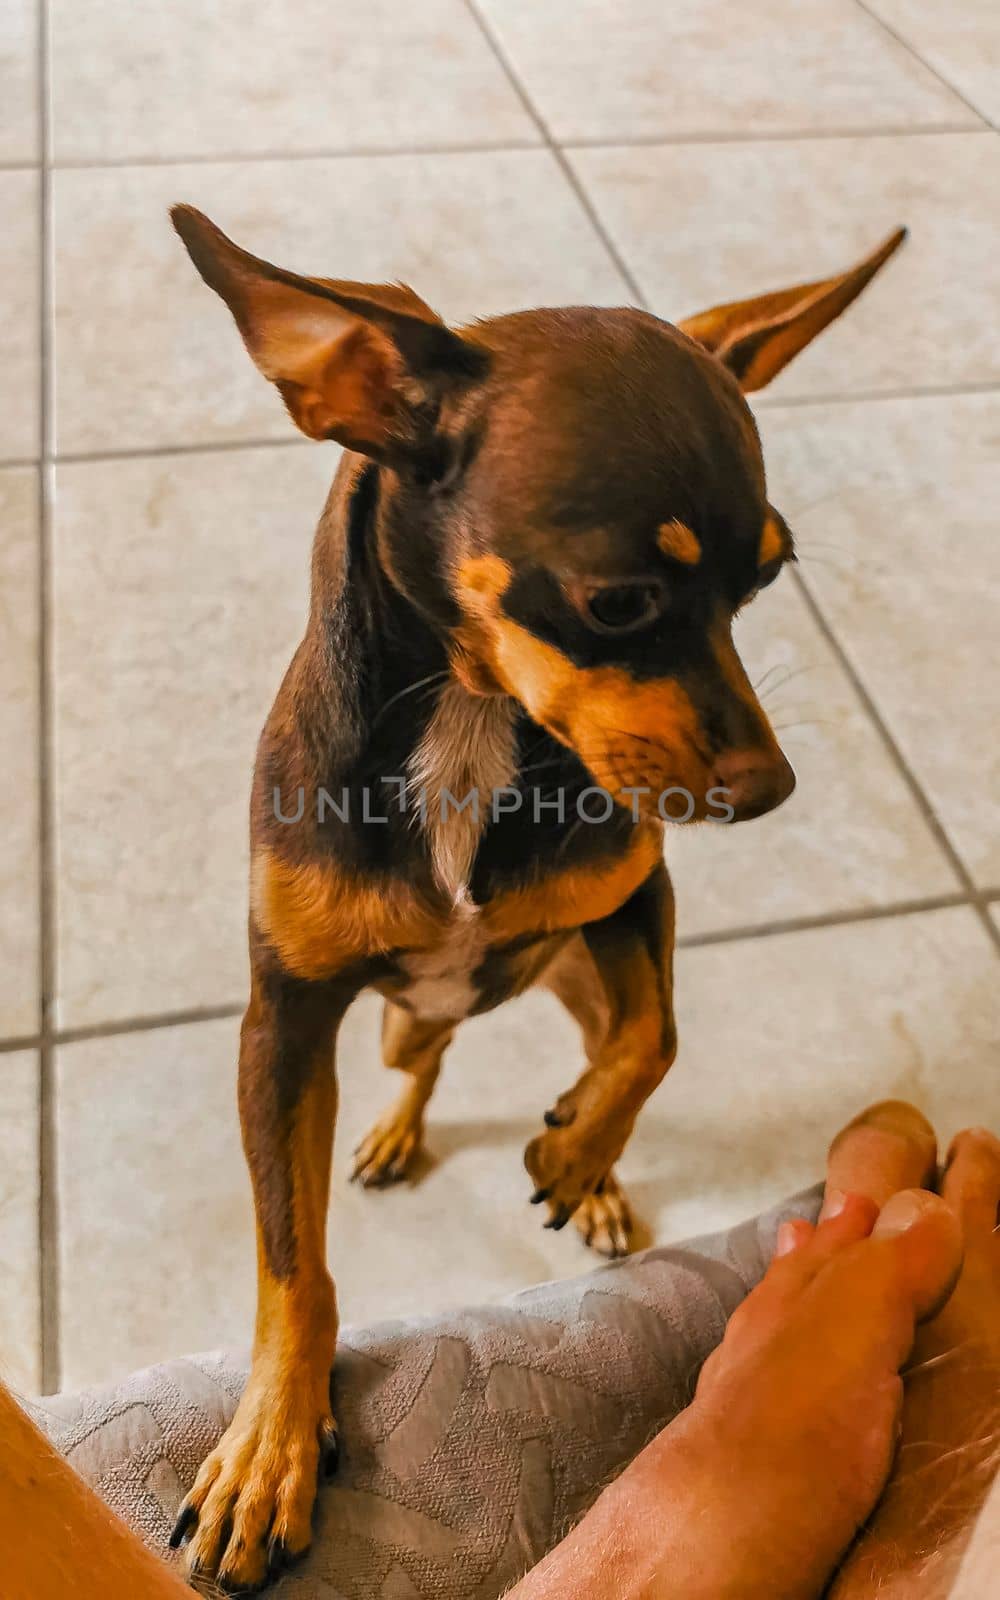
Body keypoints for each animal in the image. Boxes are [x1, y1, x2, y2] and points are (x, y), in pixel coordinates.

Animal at [168, 206, 902, 1593]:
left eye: (767, 580)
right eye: (617, 600)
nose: (769, 788)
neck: (468, 719)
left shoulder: (634, 894)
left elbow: (657, 1037)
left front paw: (574, 1151)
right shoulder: (282, 1022)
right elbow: (292, 1264)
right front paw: (269, 1446)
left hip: (568, 968)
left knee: (583, 1031)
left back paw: (590, 1168)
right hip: (388, 1020)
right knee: (421, 1055)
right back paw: (395, 1135)